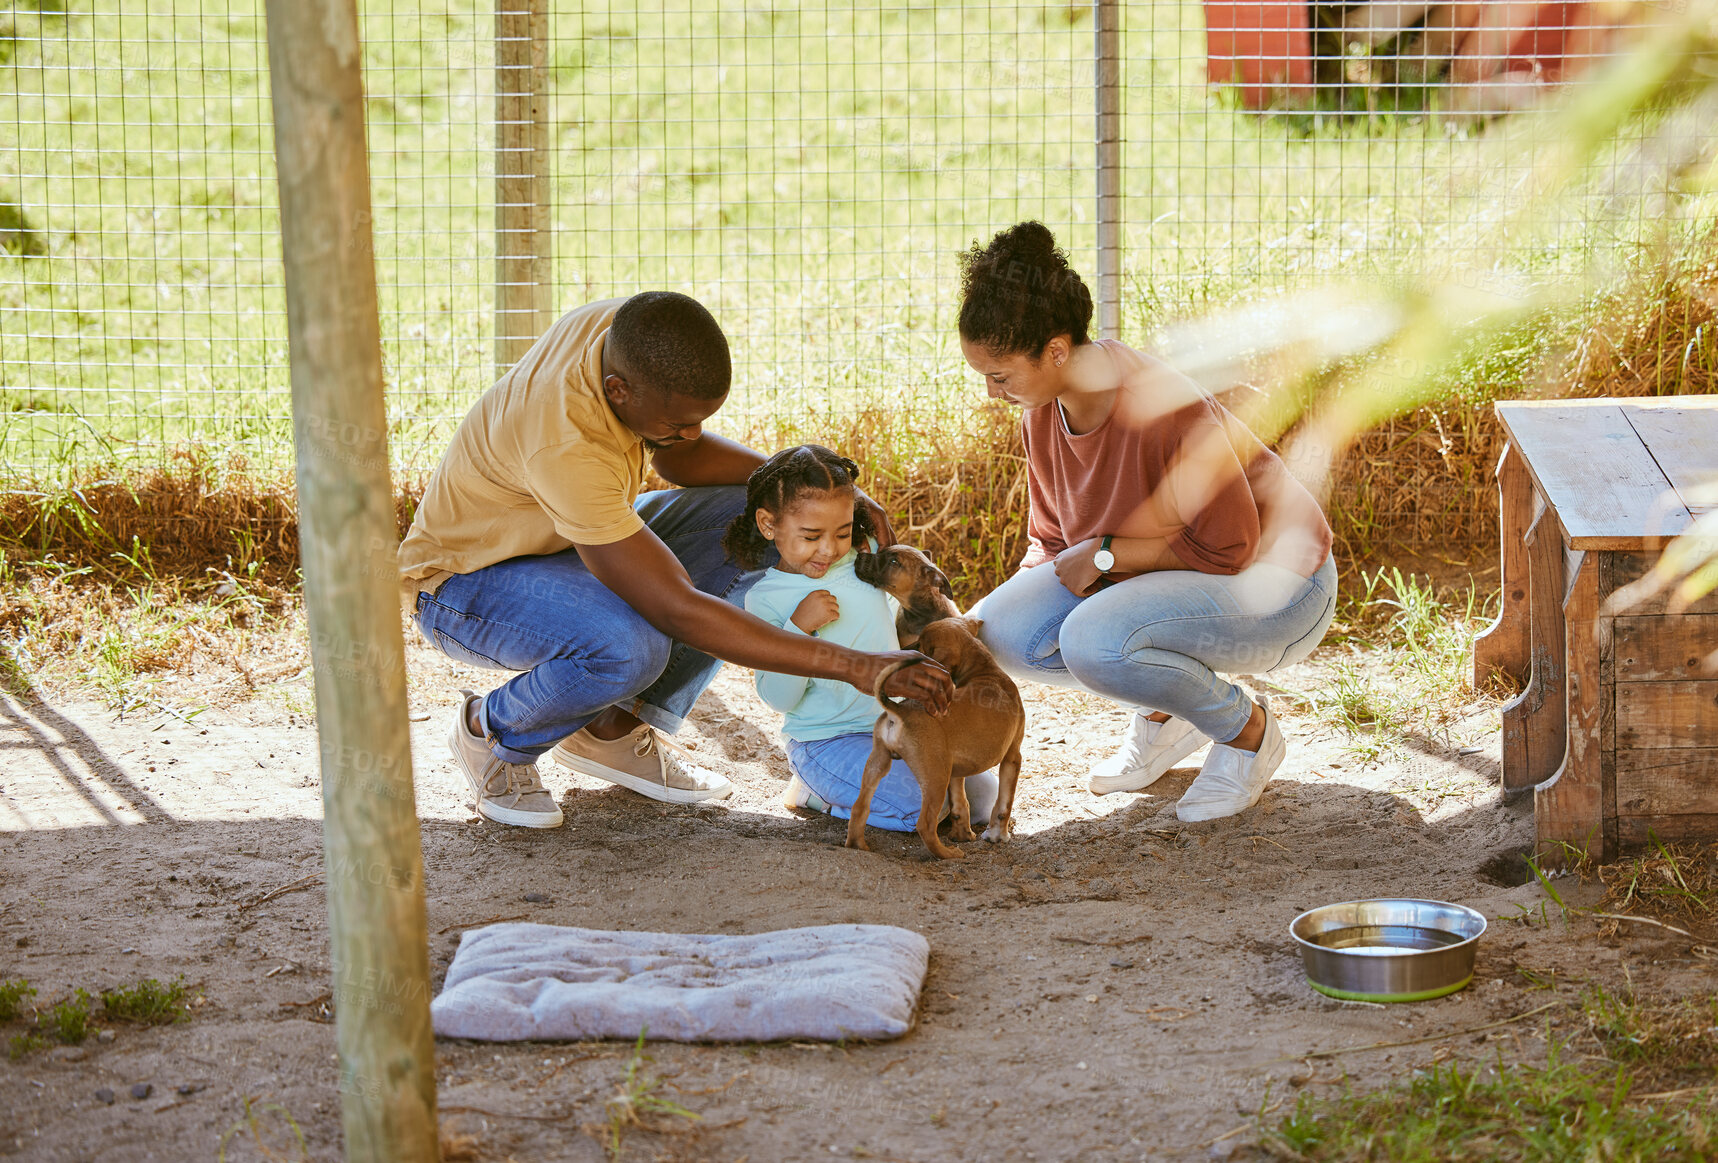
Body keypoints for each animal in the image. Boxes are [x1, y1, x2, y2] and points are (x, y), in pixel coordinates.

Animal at [845, 621, 1017, 858]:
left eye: (921, 644)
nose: (905, 648)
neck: (986, 671)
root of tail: (899, 710)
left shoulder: (956, 771)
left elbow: (960, 805)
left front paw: (963, 835)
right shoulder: (1013, 757)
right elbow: (1003, 804)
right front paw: (998, 836)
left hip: (877, 764)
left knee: (859, 808)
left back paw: (858, 846)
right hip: (935, 779)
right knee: (925, 824)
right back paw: (948, 854)